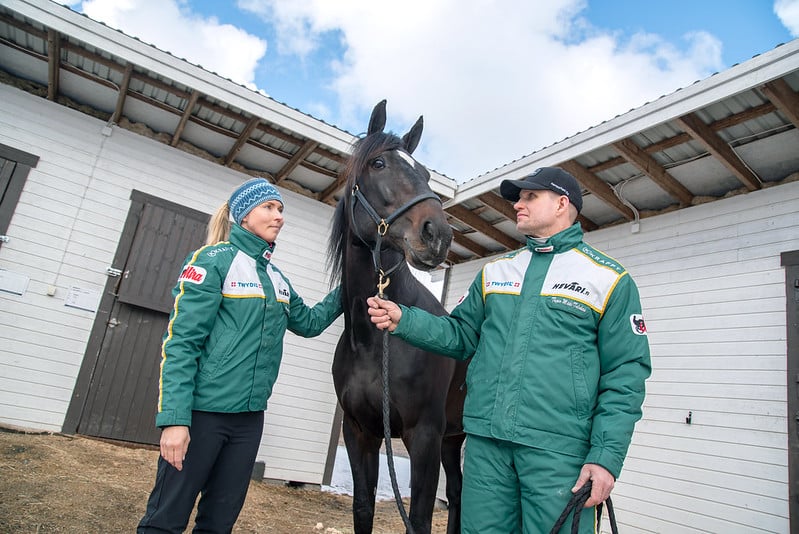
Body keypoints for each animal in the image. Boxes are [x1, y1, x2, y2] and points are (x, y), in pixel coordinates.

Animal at [326, 101, 468, 534]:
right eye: (378, 163)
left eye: (425, 173)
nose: (437, 234)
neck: (376, 343)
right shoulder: (361, 433)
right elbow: (363, 508)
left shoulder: (423, 437)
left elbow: (418, 520)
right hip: (451, 440)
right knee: (457, 494)